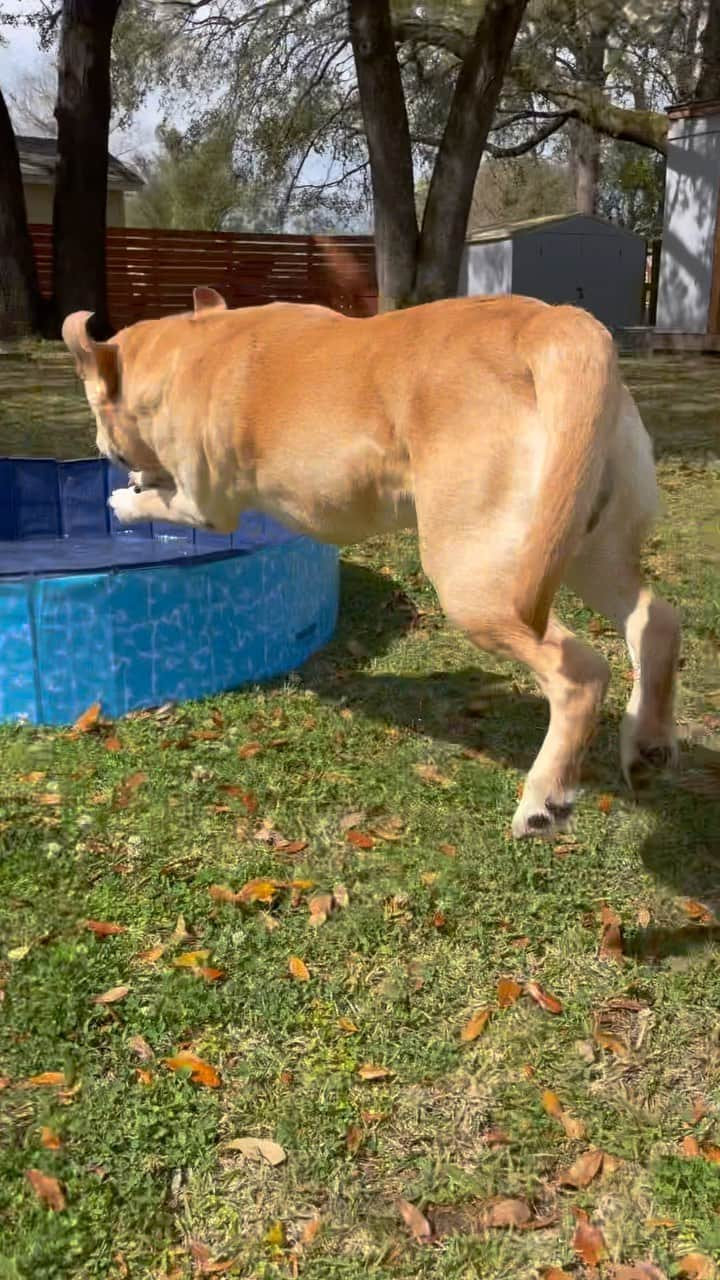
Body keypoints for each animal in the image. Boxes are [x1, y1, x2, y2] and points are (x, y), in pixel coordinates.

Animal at [63, 293, 676, 839]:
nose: (102, 448)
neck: (190, 347)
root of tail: (552, 324)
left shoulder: (205, 505)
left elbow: (165, 500)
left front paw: (123, 501)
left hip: (480, 582)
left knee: (580, 672)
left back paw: (545, 798)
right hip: (579, 542)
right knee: (655, 621)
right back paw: (646, 741)